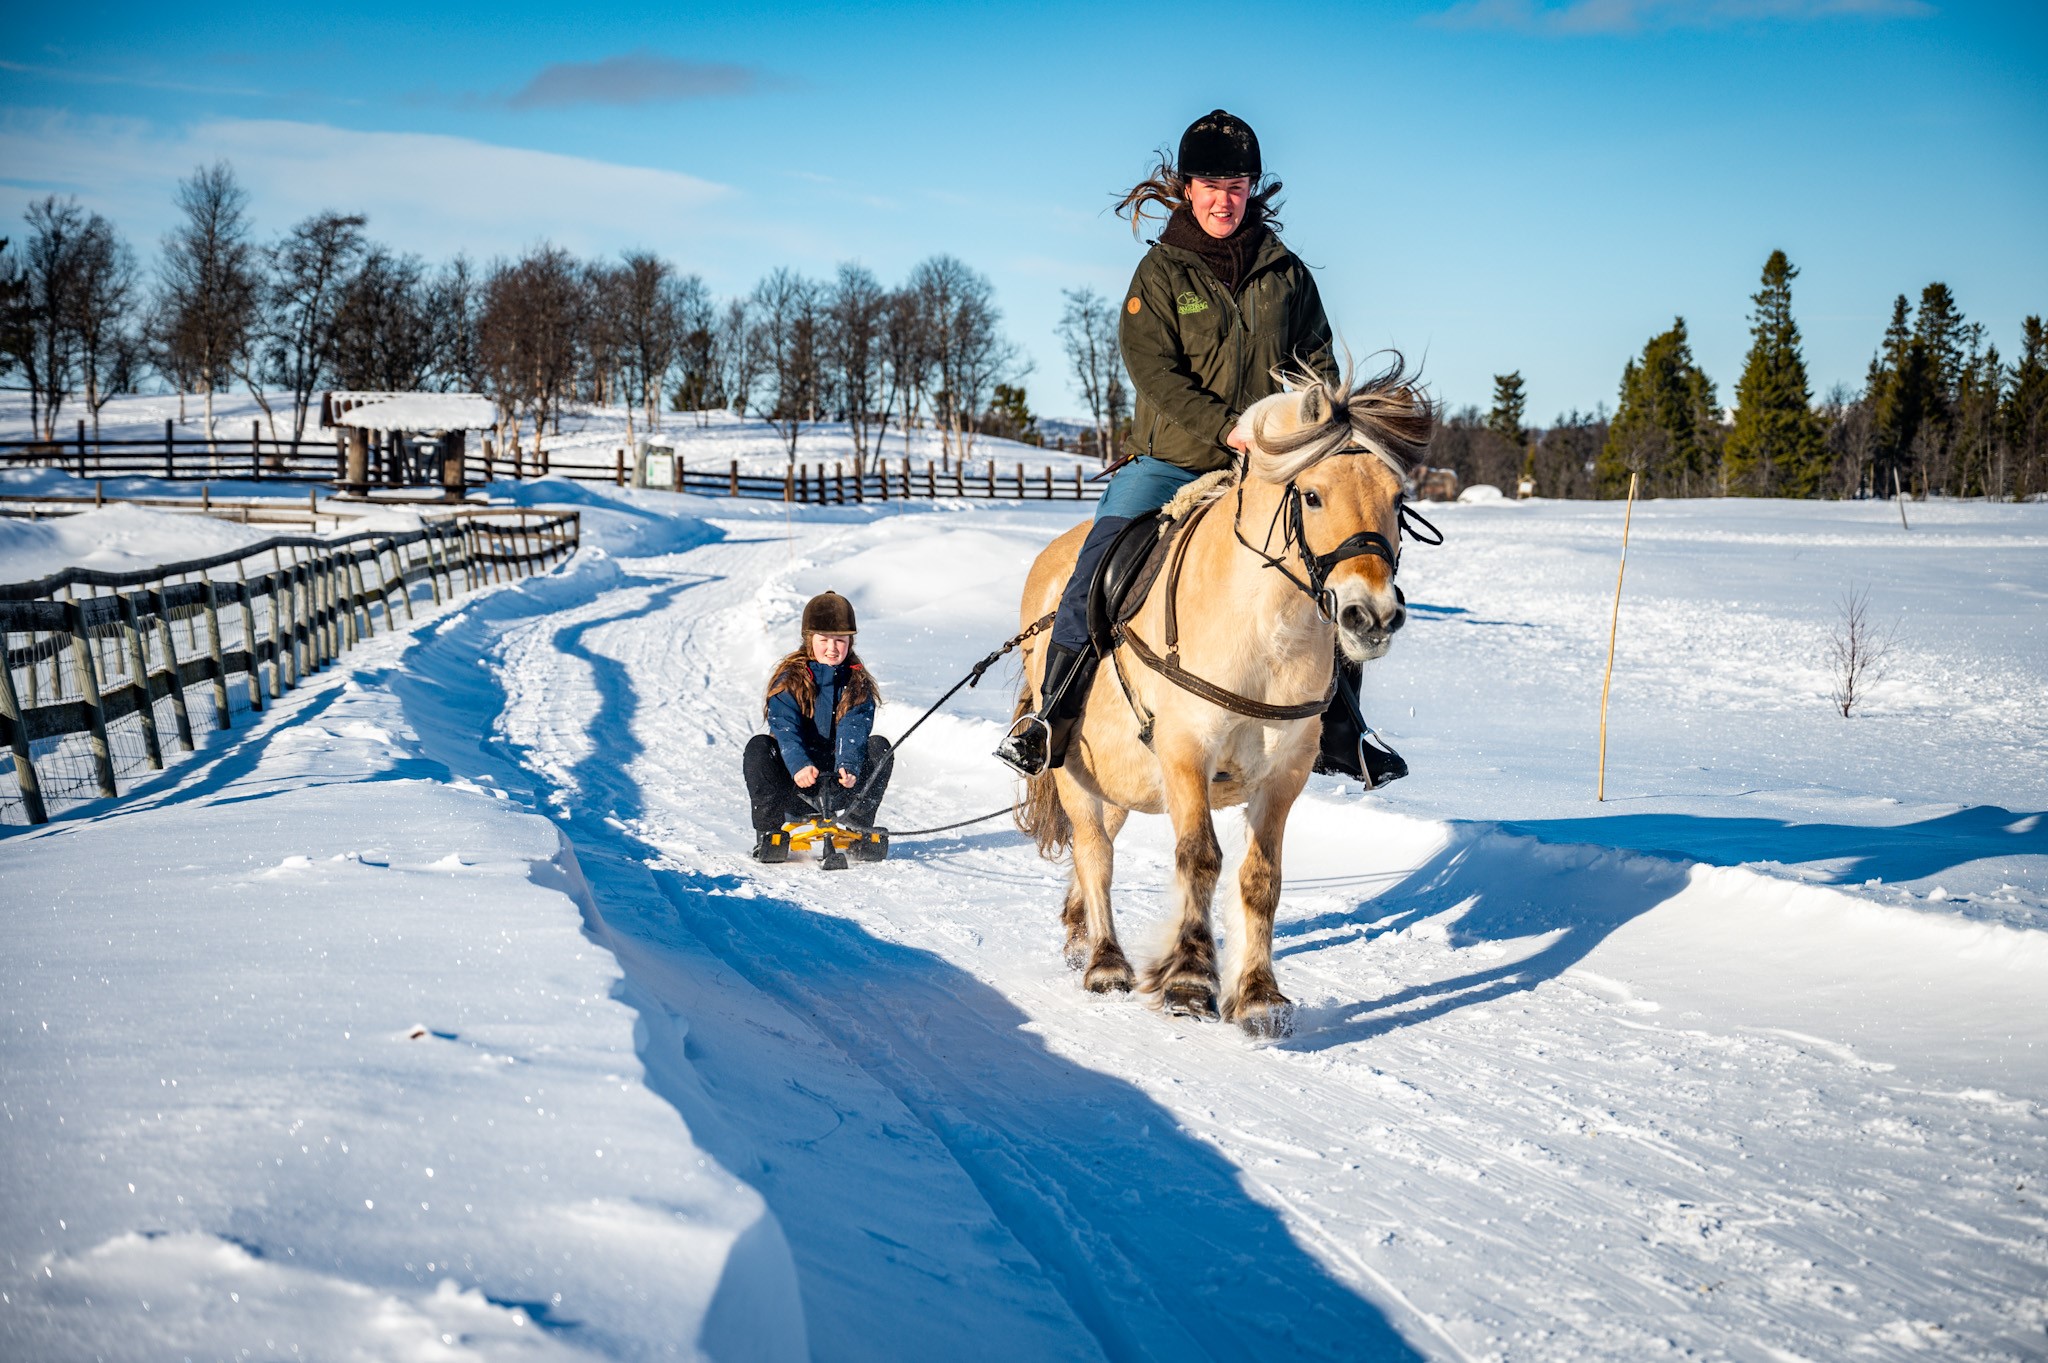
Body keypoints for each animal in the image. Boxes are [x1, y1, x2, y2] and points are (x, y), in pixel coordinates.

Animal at [1011, 358, 1436, 1037]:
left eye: (1398, 501)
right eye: (1312, 495)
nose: (1371, 617)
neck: (1265, 632)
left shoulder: (1285, 773)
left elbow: (1261, 877)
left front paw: (1259, 995)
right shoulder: (1187, 751)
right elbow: (1200, 858)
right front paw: (1189, 980)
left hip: (1121, 779)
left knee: (1094, 845)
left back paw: (1080, 935)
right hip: (1073, 763)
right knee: (1096, 851)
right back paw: (1105, 961)